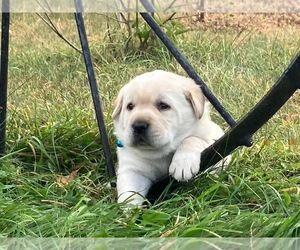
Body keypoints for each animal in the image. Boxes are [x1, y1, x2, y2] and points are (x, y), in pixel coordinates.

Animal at [112, 69, 227, 206]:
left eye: (163, 105)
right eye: (130, 106)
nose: (139, 125)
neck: (158, 153)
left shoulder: (213, 143)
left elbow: (191, 139)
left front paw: (183, 164)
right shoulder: (132, 170)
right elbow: (129, 195)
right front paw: (128, 211)